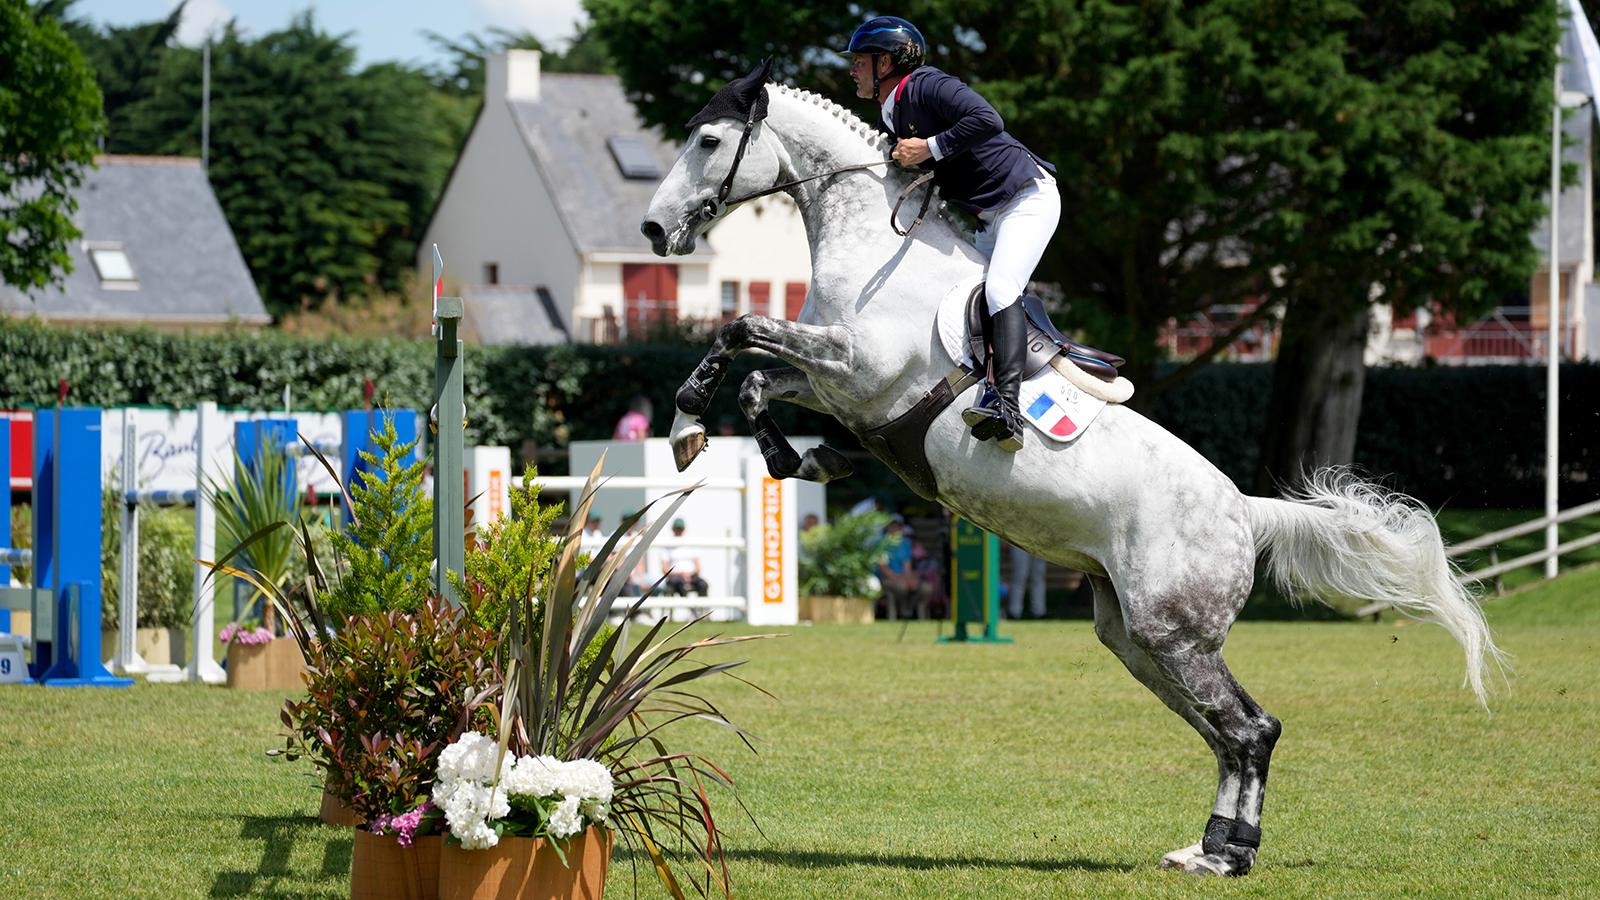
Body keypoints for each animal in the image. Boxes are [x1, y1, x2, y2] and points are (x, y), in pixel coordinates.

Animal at [636, 64, 1497, 877]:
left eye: (708, 141)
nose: (650, 227)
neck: (877, 249)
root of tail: (1245, 509)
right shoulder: (836, 386)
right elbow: (758, 378)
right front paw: (767, 447)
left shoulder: (860, 369)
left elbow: (742, 328)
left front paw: (694, 418)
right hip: (1138, 639)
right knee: (1226, 734)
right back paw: (1207, 847)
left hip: (1174, 634)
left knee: (1252, 729)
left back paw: (1226, 855)